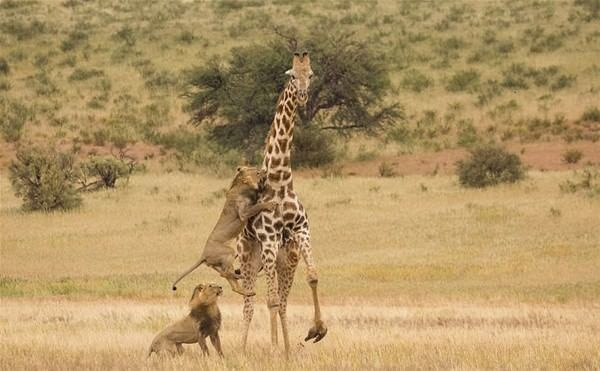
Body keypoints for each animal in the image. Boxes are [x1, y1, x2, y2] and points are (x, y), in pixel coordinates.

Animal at [170, 166, 276, 296]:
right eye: (257, 172)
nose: (264, 170)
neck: (241, 186)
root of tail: (203, 255)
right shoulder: (243, 213)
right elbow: (258, 206)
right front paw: (270, 204)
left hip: (221, 262)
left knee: (230, 281)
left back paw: (246, 291)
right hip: (229, 252)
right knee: (224, 274)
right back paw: (240, 276)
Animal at [237, 51, 328, 354]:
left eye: (310, 74)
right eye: (290, 75)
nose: (302, 95)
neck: (281, 180)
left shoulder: (300, 231)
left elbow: (313, 276)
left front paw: (317, 329)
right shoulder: (268, 238)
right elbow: (271, 300)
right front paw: (274, 349)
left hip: (285, 259)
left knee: (282, 302)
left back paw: (288, 349)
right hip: (250, 256)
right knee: (252, 302)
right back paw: (244, 350)